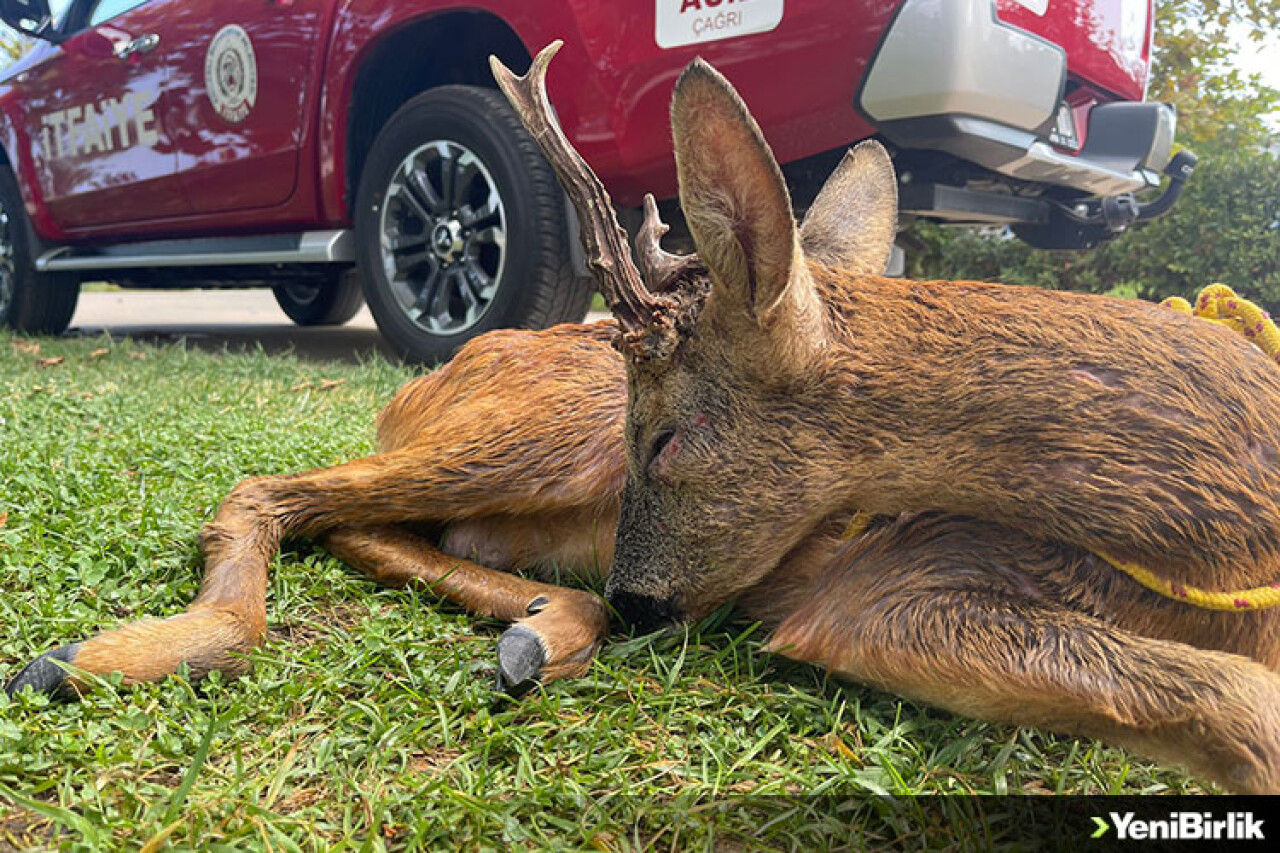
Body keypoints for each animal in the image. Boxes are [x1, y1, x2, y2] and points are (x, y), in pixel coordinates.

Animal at [7, 44, 1280, 788]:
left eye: (667, 436)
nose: (641, 595)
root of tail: (422, 382)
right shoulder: (884, 589)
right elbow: (1238, 704)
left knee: (363, 522)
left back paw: (541, 628)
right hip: (530, 434)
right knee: (275, 489)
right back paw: (97, 658)